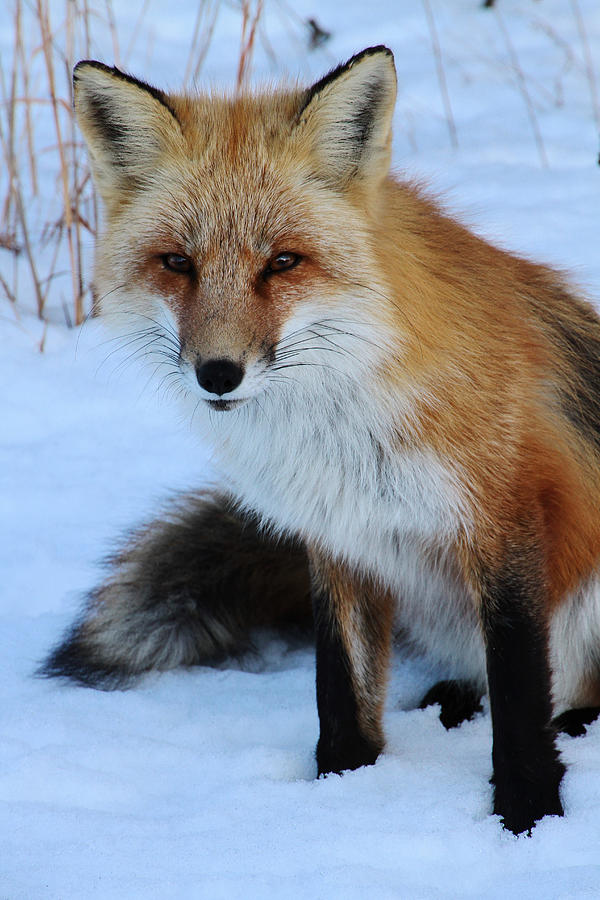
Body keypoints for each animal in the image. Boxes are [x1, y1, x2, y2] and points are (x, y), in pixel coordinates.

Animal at [43, 47, 600, 836]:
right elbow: (340, 687)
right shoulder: (341, 533)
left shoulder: (508, 514)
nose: (218, 373)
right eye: (177, 263)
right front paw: (341, 789)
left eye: (283, 262)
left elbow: (521, 694)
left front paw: (528, 818)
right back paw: (449, 702)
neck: (338, 426)